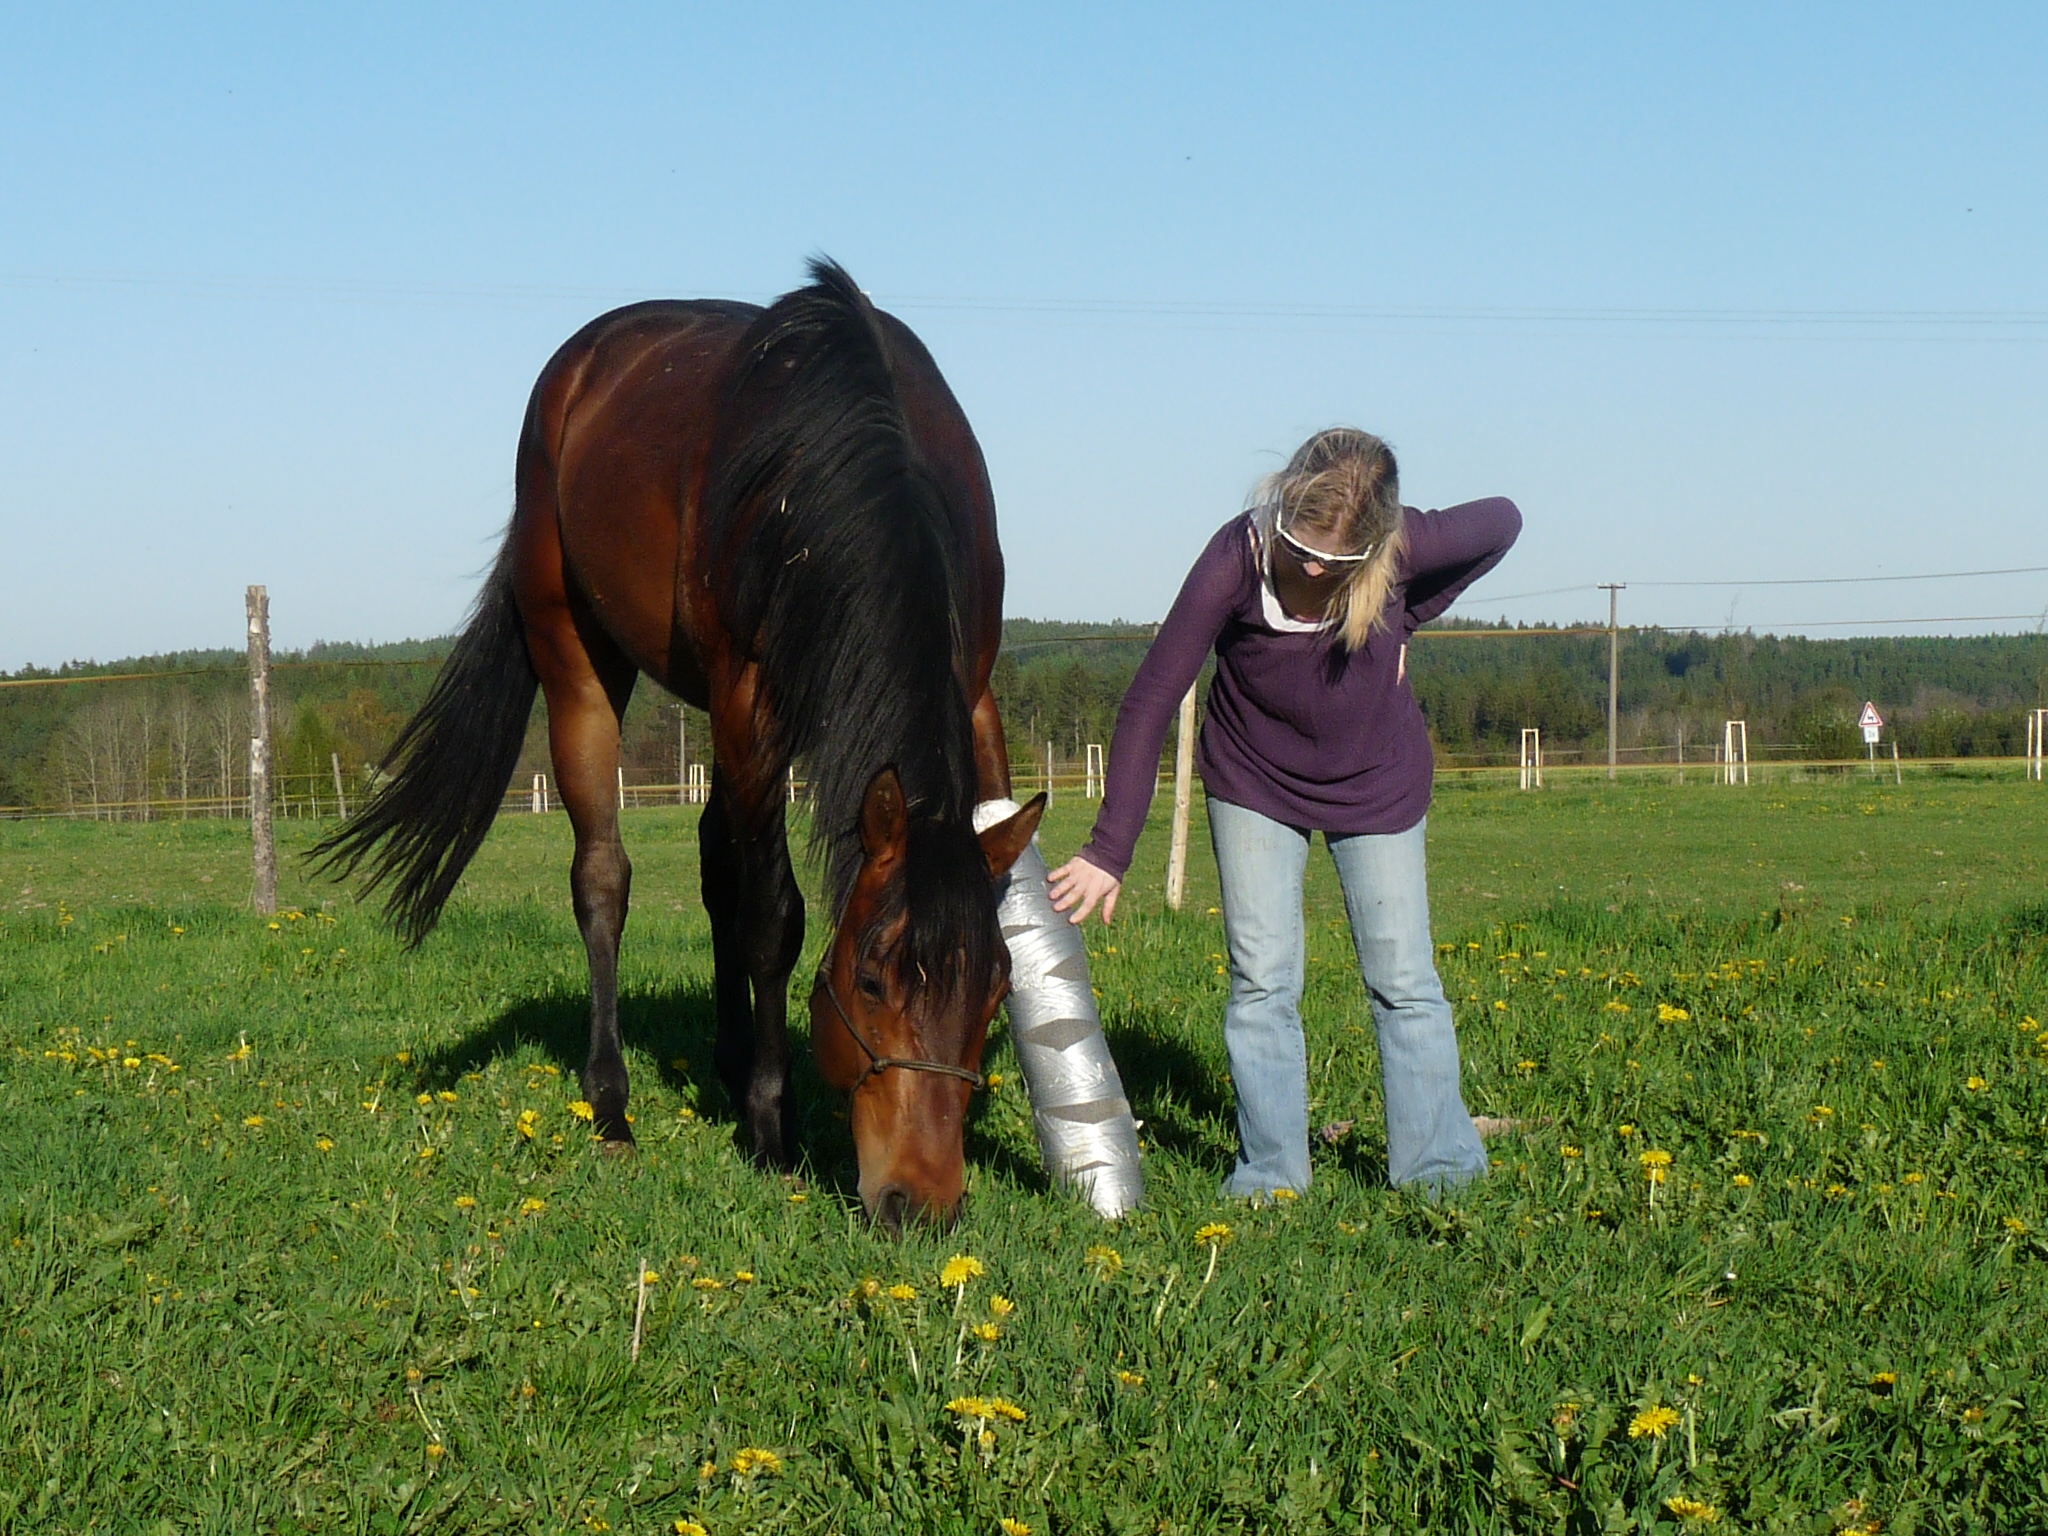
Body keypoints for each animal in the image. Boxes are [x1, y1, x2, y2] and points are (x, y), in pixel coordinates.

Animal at [325, 259, 1048, 1236]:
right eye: (869, 980)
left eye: (997, 989)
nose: (920, 1203)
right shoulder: (752, 700)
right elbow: (774, 917)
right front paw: (775, 1132)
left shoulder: (972, 689)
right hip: (580, 662)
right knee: (604, 877)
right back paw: (615, 1107)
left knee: (713, 862)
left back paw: (730, 1059)